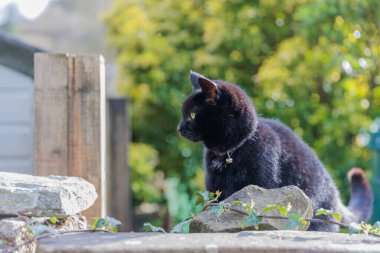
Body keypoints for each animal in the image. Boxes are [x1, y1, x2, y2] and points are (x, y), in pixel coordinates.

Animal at [179, 70, 374, 231]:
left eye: (192, 115)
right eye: (184, 113)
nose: (178, 128)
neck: (229, 152)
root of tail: (335, 195)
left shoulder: (259, 186)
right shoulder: (215, 189)